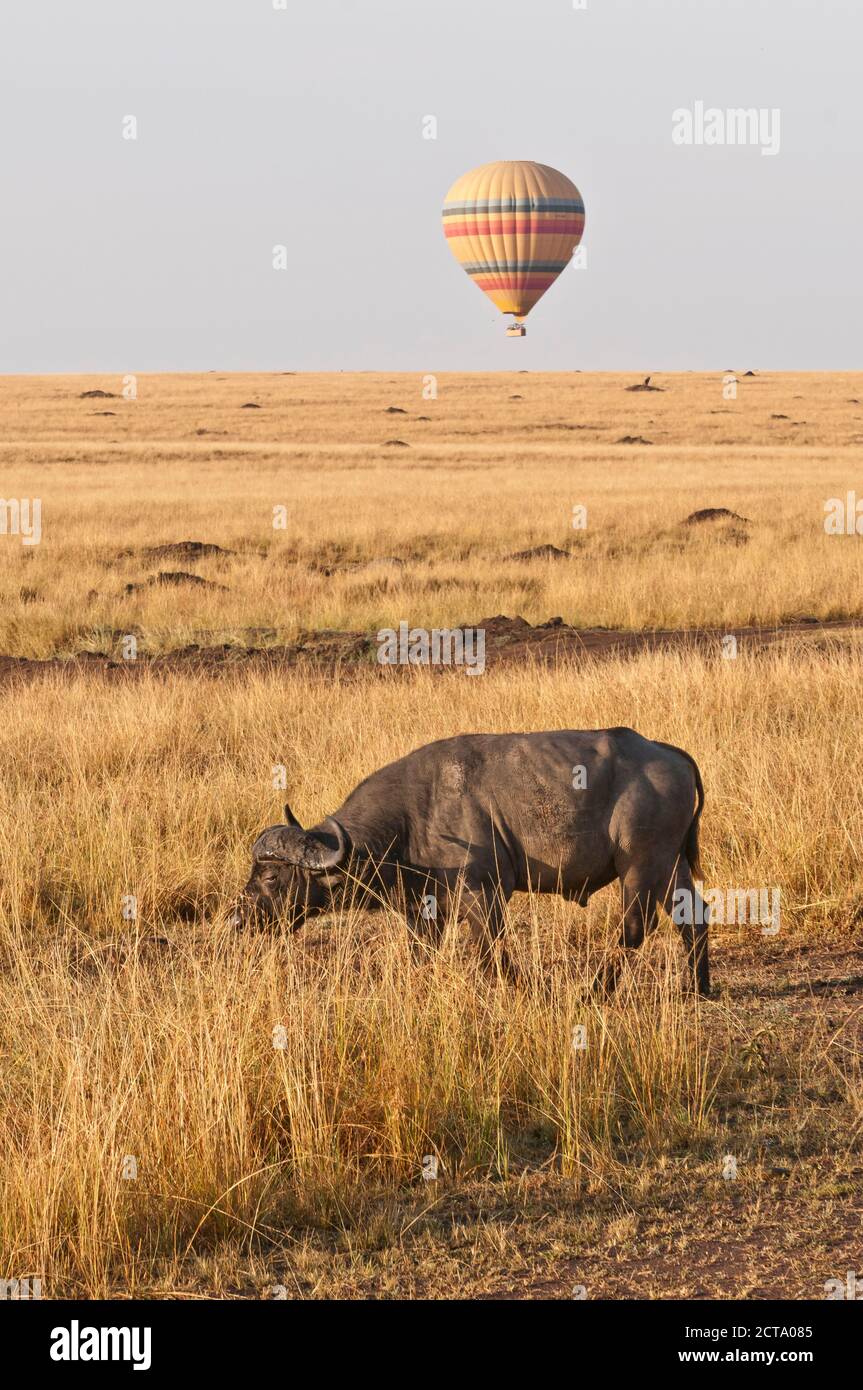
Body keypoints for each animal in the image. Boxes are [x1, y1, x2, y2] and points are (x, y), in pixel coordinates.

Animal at [229, 733, 705, 995]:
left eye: (270, 874)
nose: (237, 918)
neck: (412, 817)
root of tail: (667, 753)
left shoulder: (484, 895)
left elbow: (492, 954)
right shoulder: (424, 911)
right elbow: (424, 955)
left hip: (641, 867)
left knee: (635, 928)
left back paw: (593, 992)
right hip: (672, 867)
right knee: (693, 917)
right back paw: (699, 988)